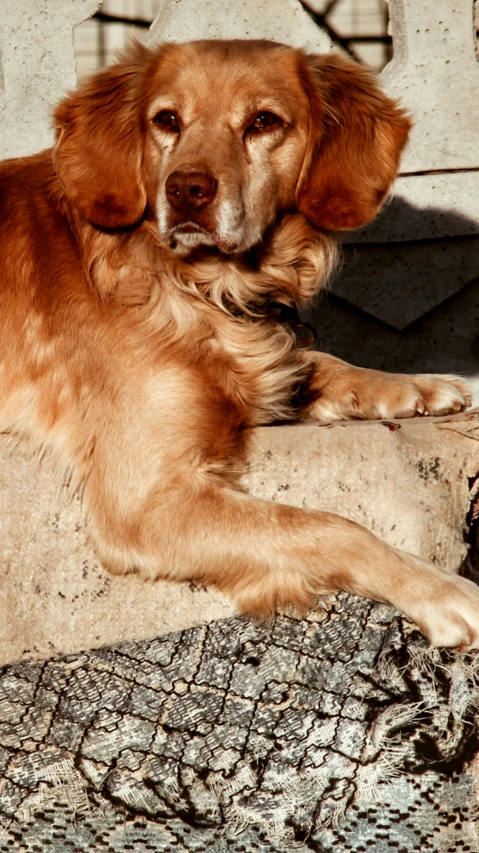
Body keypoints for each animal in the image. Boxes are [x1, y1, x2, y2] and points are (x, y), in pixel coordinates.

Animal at [0, 40, 479, 644]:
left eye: (263, 122)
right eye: (167, 120)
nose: (186, 190)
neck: (201, 289)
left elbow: (314, 359)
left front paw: (416, 385)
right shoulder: (147, 499)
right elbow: (329, 525)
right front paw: (443, 590)